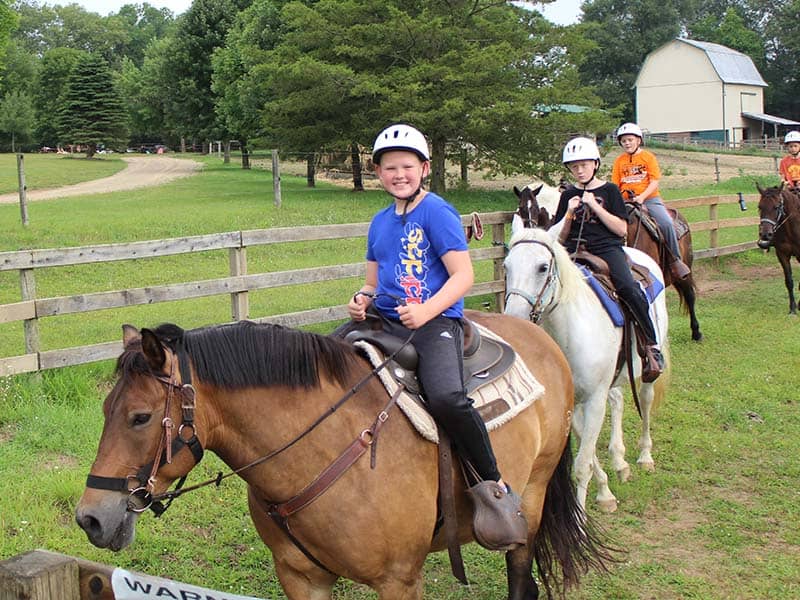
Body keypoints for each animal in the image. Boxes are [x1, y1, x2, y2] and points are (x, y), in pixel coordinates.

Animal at [75, 314, 612, 600]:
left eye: (140, 417)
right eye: (105, 409)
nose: (90, 519)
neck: (325, 451)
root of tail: (538, 334)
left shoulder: (399, 581)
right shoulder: (300, 577)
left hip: (532, 497)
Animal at [506, 225, 668, 510]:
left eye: (542, 267)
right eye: (506, 266)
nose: (515, 319)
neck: (570, 331)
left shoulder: (593, 399)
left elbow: (582, 466)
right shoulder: (574, 403)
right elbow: (587, 448)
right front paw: (605, 490)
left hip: (648, 372)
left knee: (646, 400)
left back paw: (645, 455)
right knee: (617, 400)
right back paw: (620, 460)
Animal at [756, 183, 800, 314]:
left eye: (776, 207)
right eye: (760, 207)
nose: (765, 235)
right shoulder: (782, 255)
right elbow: (789, 281)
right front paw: (792, 308)